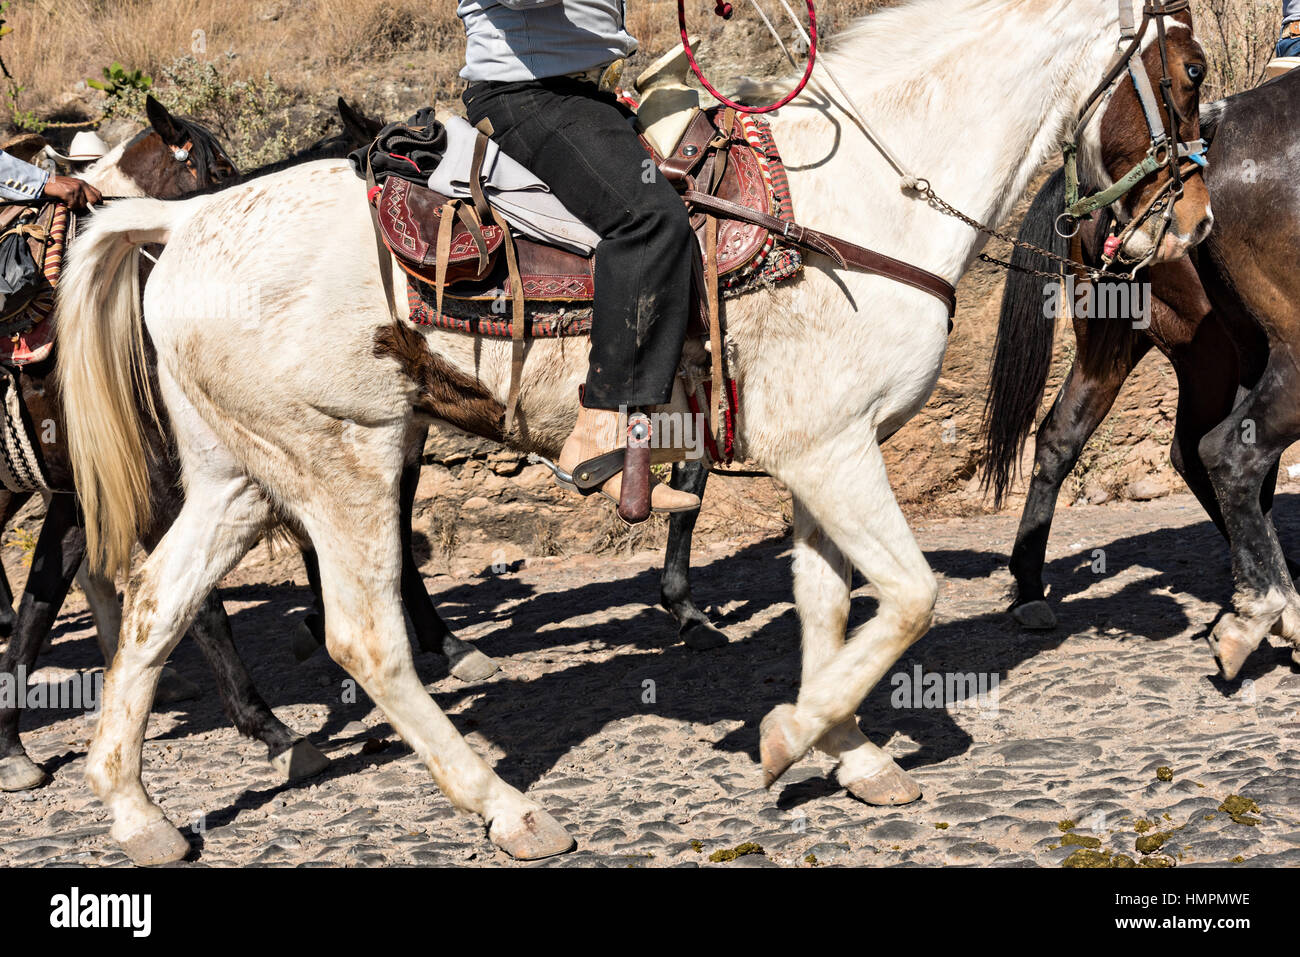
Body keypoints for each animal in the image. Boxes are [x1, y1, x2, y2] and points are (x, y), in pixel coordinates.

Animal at [50, 0, 1206, 868]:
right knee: (365, 640)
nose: (1191, 225)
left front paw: (851, 752)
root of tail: (182, 221)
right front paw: (791, 738)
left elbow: (830, 608)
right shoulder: (833, 452)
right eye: (1190, 69)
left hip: (239, 476)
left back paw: (138, 814)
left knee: (155, 602)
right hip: (350, 460)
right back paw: (505, 807)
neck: (857, 203)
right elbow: (912, 597)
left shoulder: (821, 453)